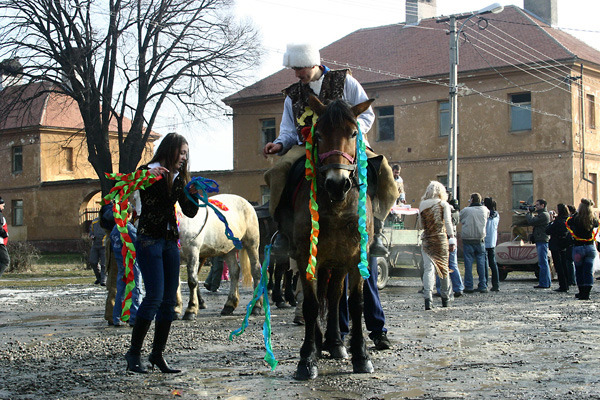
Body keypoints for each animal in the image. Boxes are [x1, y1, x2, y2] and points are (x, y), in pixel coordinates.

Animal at [290, 95, 376, 380]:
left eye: (353, 133)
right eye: (318, 135)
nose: (337, 183)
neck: (337, 207)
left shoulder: (355, 257)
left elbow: (356, 303)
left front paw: (361, 354)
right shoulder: (307, 255)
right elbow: (311, 305)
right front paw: (307, 358)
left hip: (337, 263)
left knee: (335, 296)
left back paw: (336, 343)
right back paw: (320, 343)